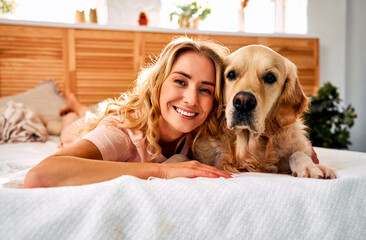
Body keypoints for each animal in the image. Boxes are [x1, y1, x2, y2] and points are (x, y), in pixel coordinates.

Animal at [170, 44, 336, 178]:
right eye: (231, 74)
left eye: (270, 77)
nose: (243, 102)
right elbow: (180, 156)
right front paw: (172, 164)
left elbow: (297, 153)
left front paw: (311, 166)